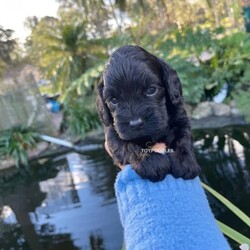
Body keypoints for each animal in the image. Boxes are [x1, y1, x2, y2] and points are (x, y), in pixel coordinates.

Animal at [95, 45, 199, 182]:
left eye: (151, 90)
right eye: (113, 100)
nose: (136, 124)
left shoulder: (180, 118)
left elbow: (183, 137)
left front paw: (183, 161)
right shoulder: (113, 130)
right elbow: (125, 145)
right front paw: (152, 162)